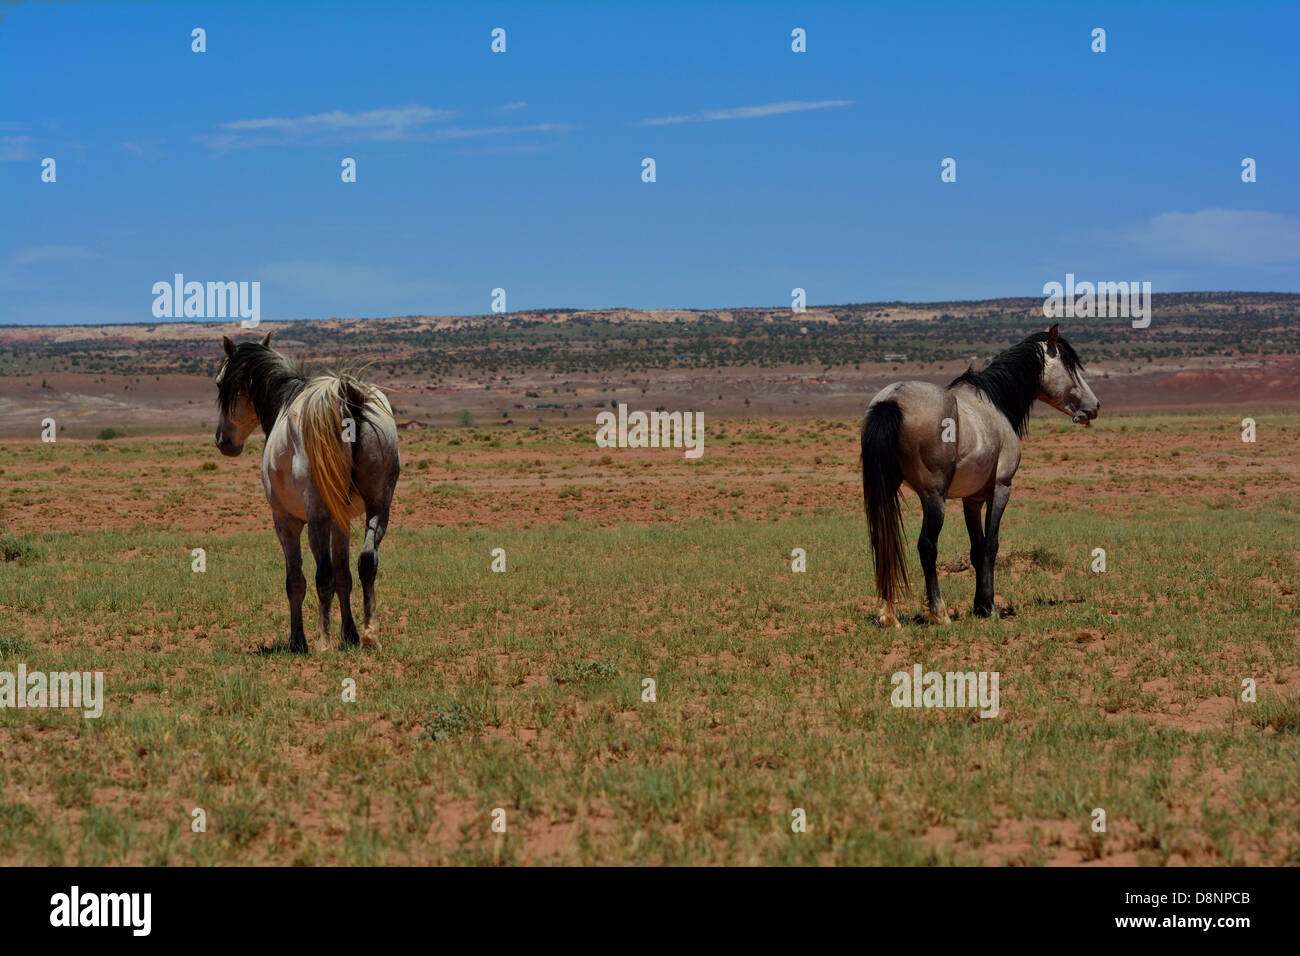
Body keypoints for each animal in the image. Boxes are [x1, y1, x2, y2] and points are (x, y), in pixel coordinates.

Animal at [213, 332, 397, 655]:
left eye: (220, 383)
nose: (222, 441)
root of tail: (346, 398)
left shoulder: (286, 521)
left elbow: (296, 581)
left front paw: (298, 639)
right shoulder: (341, 521)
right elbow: (344, 576)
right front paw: (349, 633)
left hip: (316, 517)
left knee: (322, 574)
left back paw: (323, 641)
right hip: (379, 505)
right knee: (367, 562)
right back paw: (369, 632)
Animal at [863, 325, 1097, 629]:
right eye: (1070, 367)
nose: (1094, 407)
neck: (993, 403)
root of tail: (892, 401)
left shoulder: (971, 500)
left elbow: (976, 548)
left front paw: (978, 605)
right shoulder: (1001, 489)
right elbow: (991, 545)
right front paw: (990, 606)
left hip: (888, 492)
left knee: (884, 541)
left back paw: (888, 615)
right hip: (934, 498)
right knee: (927, 546)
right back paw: (939, 612)